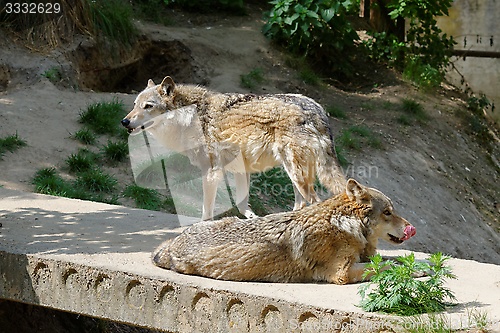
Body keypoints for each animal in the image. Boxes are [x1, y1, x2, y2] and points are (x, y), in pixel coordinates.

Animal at [123, 76, 346, 219]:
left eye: (148, 106)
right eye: (134, 104)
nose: (124, 121)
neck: (189, 117)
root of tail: (318, 110)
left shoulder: (211, 172)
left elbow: (206, 212)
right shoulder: (241, 170)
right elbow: (241, 206)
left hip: (295, 173)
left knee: (315, 202)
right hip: (295, 176)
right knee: (302, 204)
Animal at [153, 179, 418, 282]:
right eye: (388, 212)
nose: (411, 228)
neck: (344, 224)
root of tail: (170, 246)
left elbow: (394, 261)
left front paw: (416, 266)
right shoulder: (342, 273)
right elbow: (387, 266)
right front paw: (413, 272)